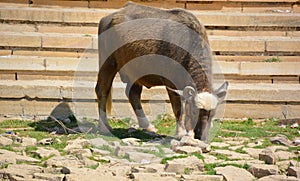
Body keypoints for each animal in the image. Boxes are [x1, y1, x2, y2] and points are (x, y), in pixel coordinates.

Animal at [96, 2, 227, 141]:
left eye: (213, 113)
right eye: (194, 111)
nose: (201, 137)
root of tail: (108, 18)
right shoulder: (171, 83)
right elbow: (178, 108)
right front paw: (181, 132)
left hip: (135, 70)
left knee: (133, 93)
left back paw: (147, 126)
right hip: (108, 62)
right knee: (102, 90)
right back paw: (104, 127)